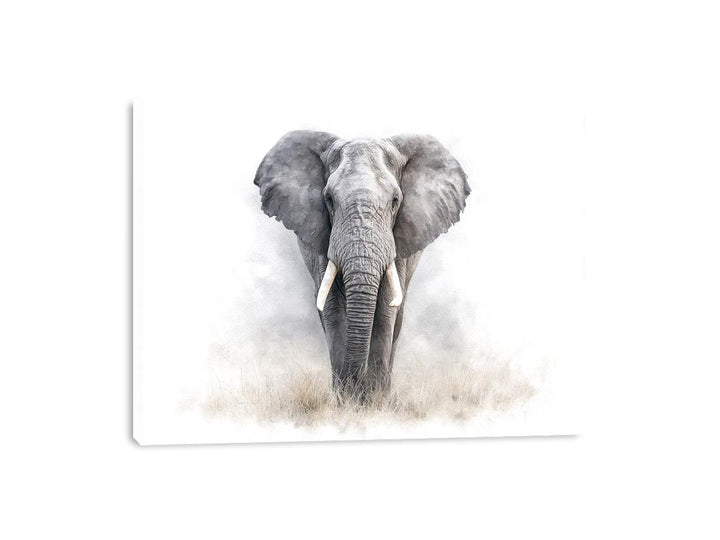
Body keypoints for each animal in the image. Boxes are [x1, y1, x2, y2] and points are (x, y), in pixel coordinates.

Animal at [254, 131, 470, 400]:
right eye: (329, 199)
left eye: (395, 200)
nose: (357, 385)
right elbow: (333, 308)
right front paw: (345, 401)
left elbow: (386, 307)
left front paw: (374, 402)